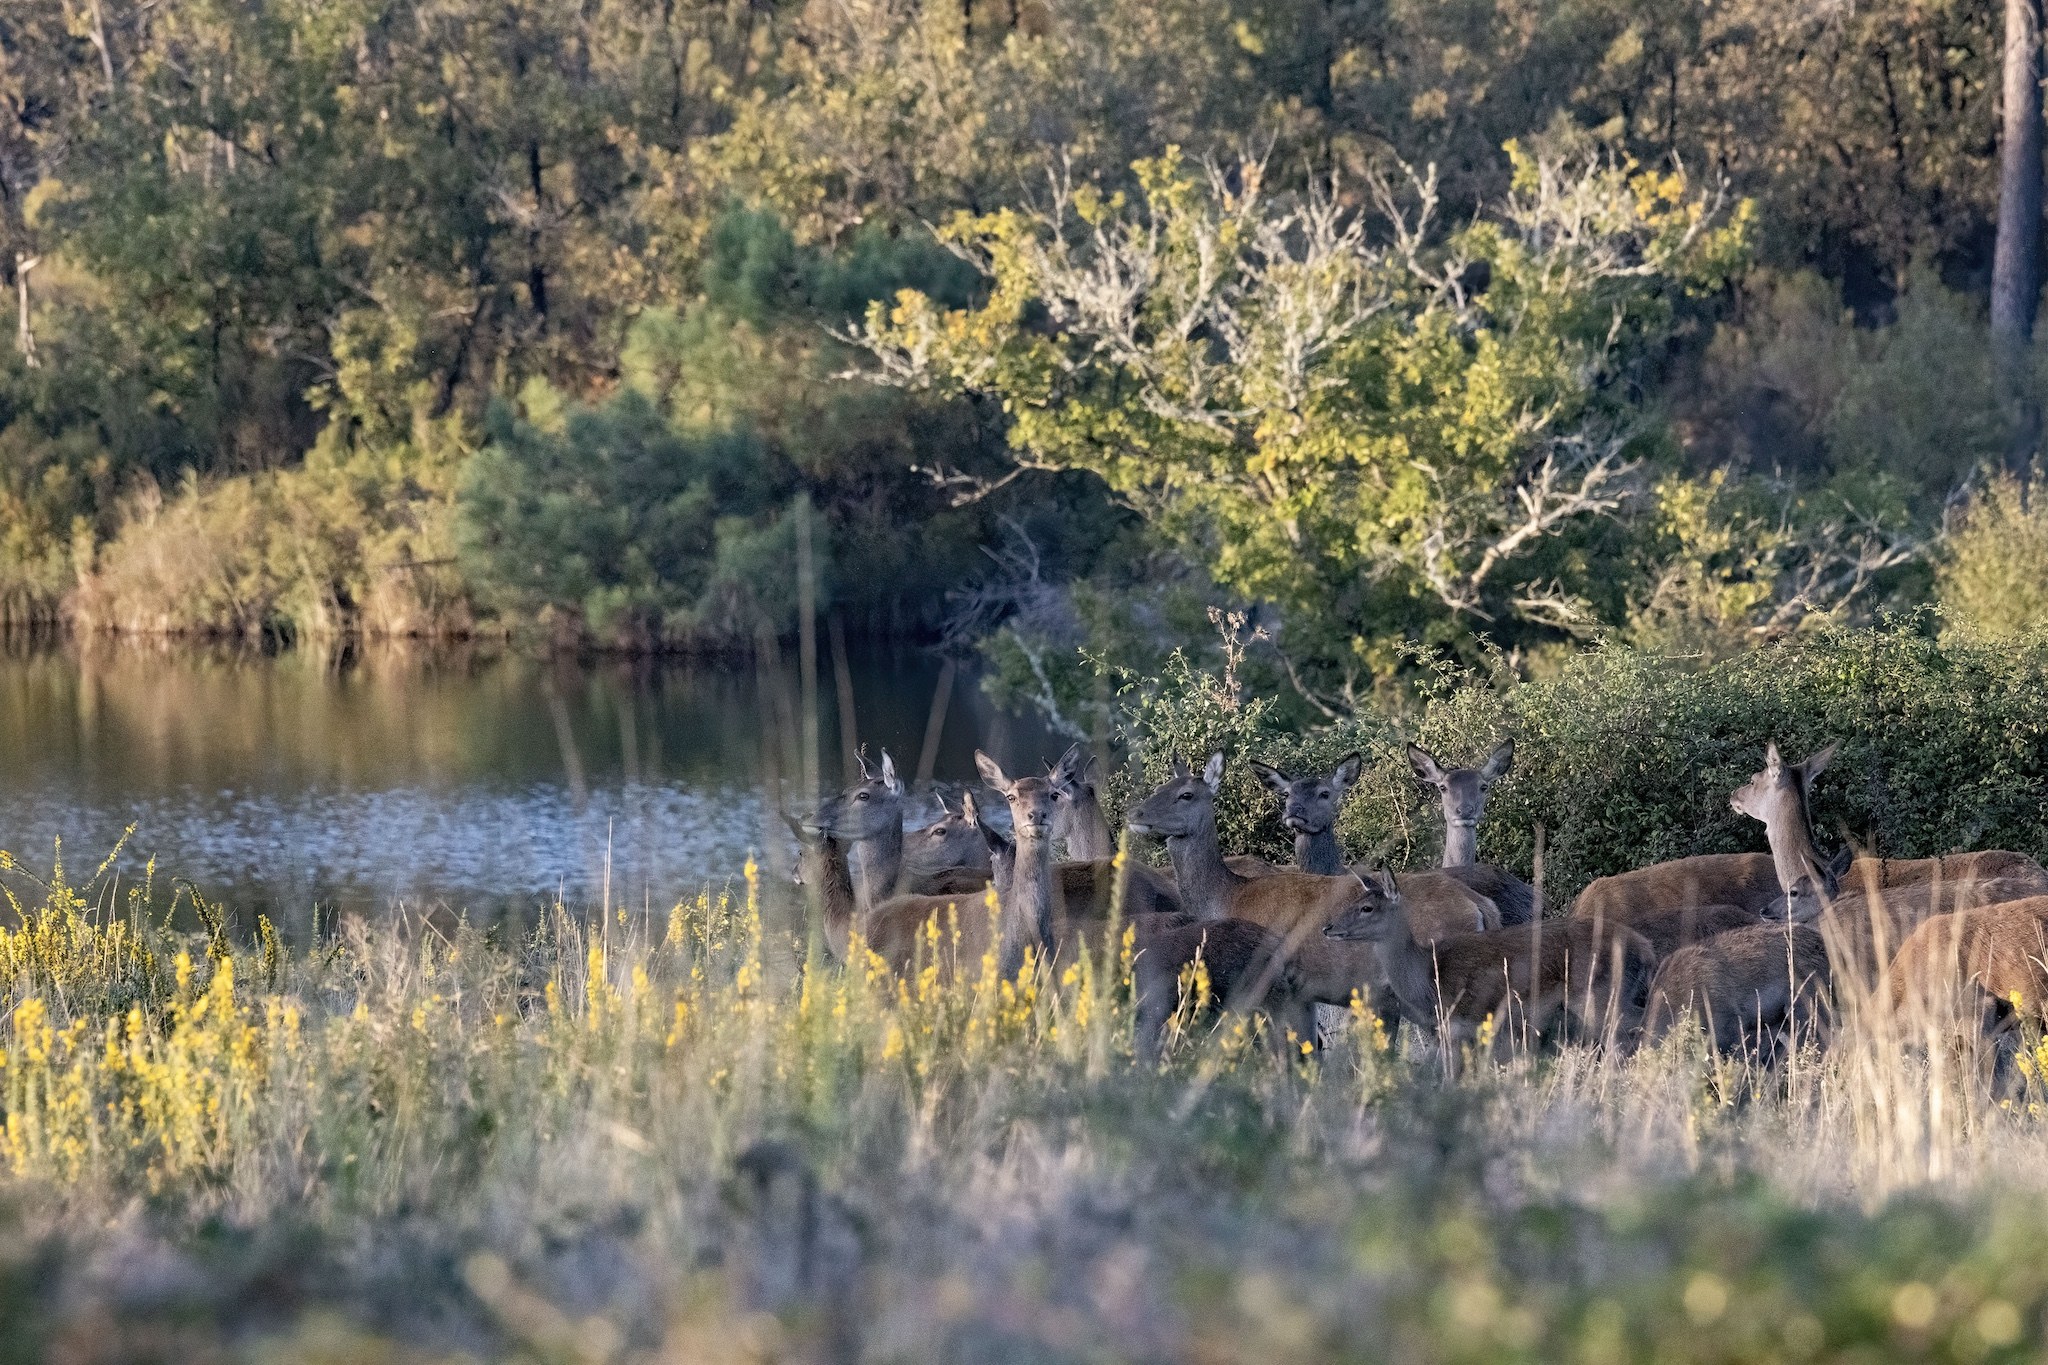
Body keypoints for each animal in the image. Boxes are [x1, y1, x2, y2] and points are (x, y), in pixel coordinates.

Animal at [1322, 868, 1655, 1069]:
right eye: (1356, 899)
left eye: (1367, 907)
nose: (1328, 928)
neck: (1429, 977)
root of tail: (1645, 948)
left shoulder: (1460, 1024)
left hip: (1597, 995)